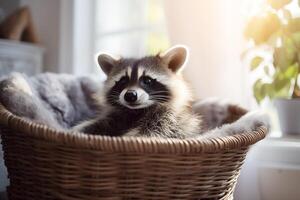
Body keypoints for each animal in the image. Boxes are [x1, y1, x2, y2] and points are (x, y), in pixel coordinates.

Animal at [74, 45, 203, 139]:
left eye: (147, 80)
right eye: (123, 81)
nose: (130, 95)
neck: (136, 112)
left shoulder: (170, 120)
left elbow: (153, 131)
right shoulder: (116, 116)